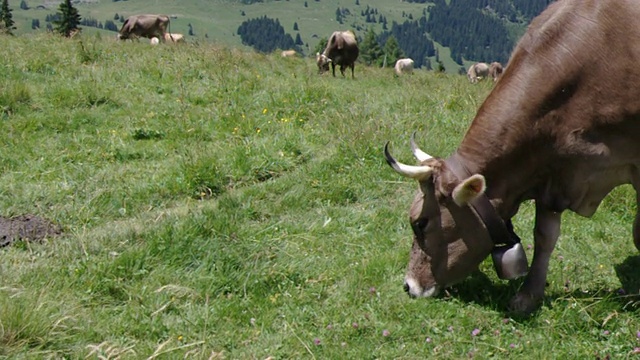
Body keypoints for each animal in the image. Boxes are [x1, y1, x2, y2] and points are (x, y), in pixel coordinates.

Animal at [384, 0, 640, 316]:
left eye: (420, 223)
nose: (409, 286)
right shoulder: (553, 167)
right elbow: (544, 236)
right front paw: (528, 296)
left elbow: (638, 232)